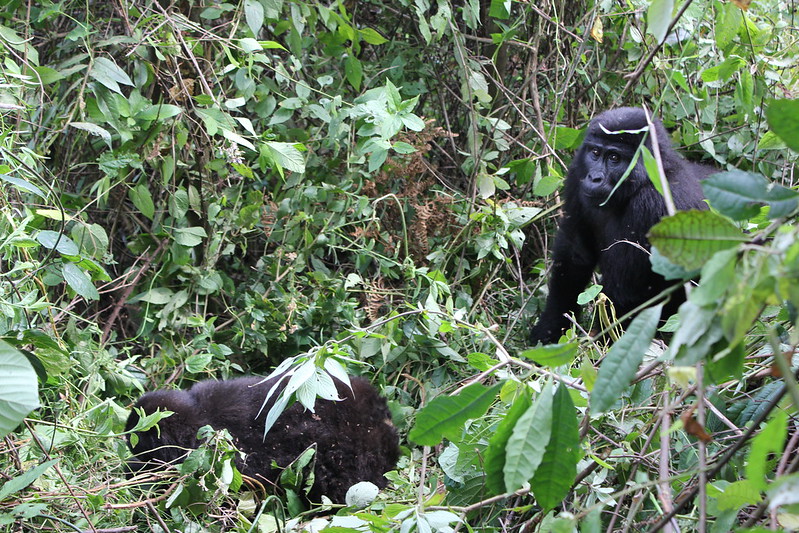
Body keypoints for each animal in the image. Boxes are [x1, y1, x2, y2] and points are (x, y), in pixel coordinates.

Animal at [532, 107, 712, 344]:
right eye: (595, 153)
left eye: (614, 158)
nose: (594, 178)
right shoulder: (578, 172)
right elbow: (574, 256)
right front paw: (552, 326)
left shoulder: (651, 203)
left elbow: (624, 292)